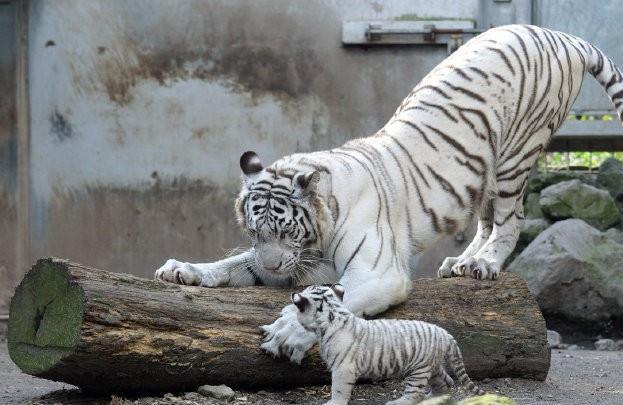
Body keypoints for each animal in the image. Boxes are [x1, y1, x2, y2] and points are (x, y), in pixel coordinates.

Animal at [157, 26, 623, 362]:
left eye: (288, 232)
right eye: (255, 231)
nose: (272, 266)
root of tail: (561, 35)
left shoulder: (376, 272)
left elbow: (332, 302)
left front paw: (287, 331)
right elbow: (233, 264)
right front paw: (184, 270)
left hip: (518, 152)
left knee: (511, 220)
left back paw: (485, 263)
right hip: (484, 168)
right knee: (487, 219)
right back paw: (461, 262)